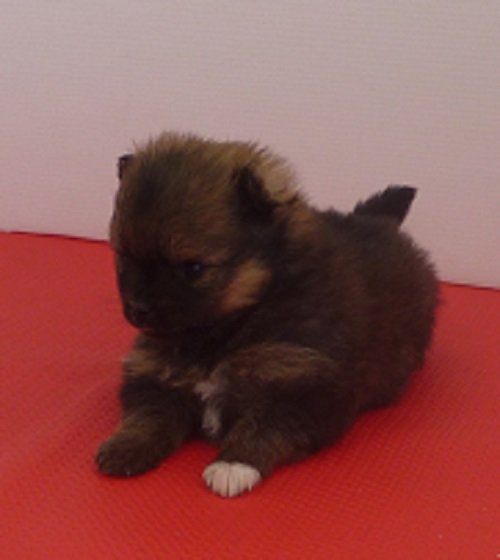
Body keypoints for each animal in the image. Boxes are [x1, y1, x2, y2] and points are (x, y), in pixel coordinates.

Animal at [96, 132, 439, 498]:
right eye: (123, 257)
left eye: (193, 268)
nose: (138, 309)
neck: (229, 326)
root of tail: (379, 219)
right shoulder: (155, 372)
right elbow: (148, 415)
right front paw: (124, 446)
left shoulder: (305, 385)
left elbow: (265, 425)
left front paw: (233, 465)